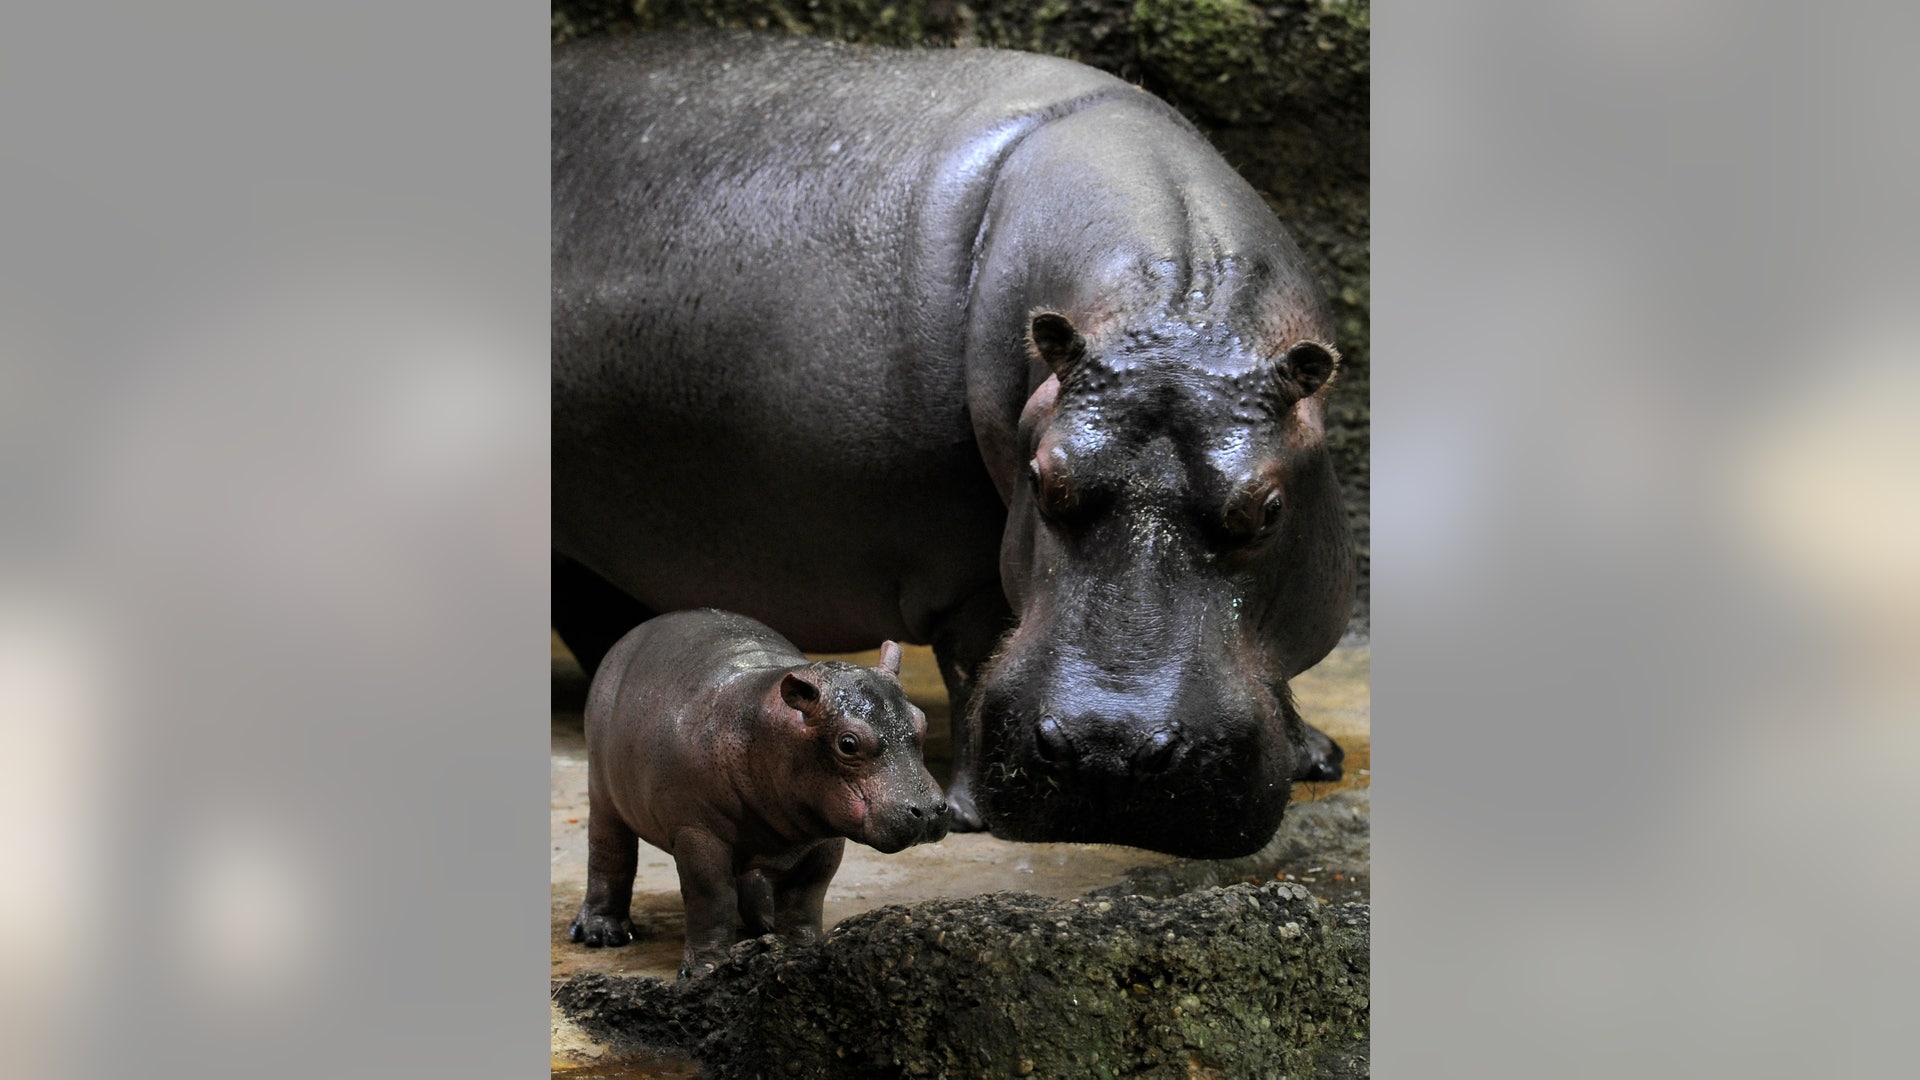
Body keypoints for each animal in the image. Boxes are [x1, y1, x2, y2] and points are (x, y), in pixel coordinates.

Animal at [552, 31, 1353, 859]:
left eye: (1268, 510)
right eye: (1042, 480)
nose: (1109, 753)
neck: (1175, 317)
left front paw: (1316, 757)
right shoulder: (958, 563)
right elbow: (974, 655)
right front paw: (968, 813)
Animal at [569, 609, 947, 977]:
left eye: (922, 721)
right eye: (848, 743)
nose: (929, 810)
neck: (764, 725)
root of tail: (633, 635)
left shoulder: (824, 839)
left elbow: (807, 893)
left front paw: (800, 951)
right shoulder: (697, 832)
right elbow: (711, 895)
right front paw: (706, 970)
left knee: (753, 878)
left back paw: (764, 927)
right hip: (602, 791)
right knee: (608, 853)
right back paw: (603, 934)